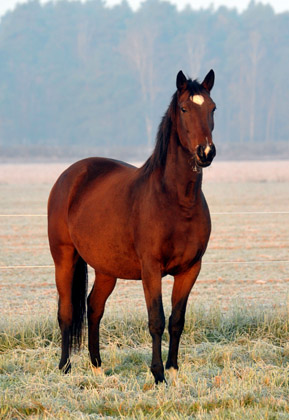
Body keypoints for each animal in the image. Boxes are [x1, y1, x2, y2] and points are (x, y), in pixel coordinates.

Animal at [48, 69, 216, 384]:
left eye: (212, 108)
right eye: (184, 108)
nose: (206, 152)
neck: (177, 200)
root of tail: (71, 175)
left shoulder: (191, 269)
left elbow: (177, 320)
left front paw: (173, 369)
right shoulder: (151, 269)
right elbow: (156, 320)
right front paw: (158, 374)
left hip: (106, 269)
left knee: (94, 307)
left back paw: (97, 365)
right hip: (64, 258)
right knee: (67, 312)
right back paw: (64, 366)